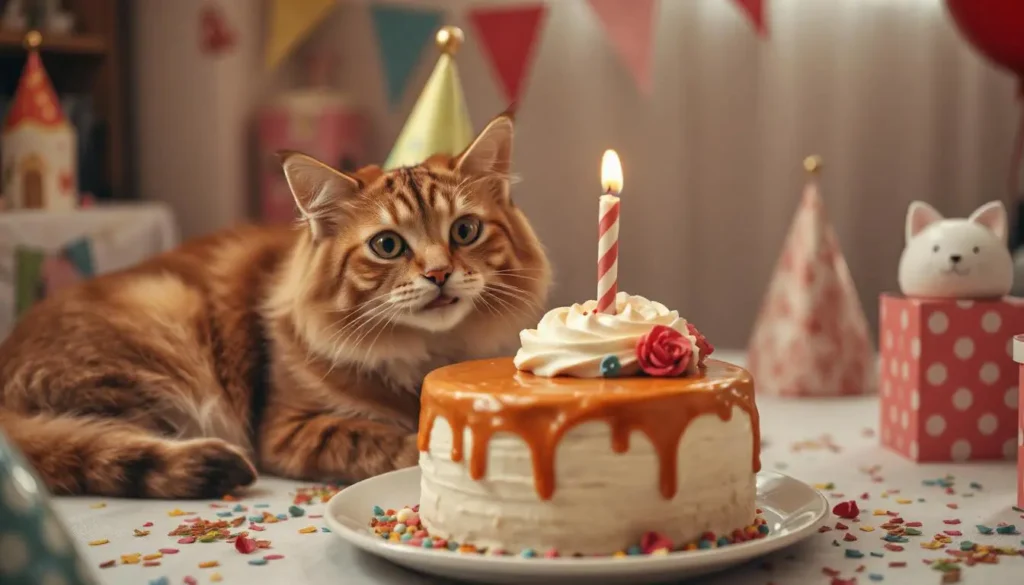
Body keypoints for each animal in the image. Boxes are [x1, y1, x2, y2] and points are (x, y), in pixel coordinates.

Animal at [0, 111, 552, 499]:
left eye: (465, 231)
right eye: (388, 245)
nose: (439, 274)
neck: (425, 355)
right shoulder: (286, 429)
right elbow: (386, 439)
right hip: (162, 344)